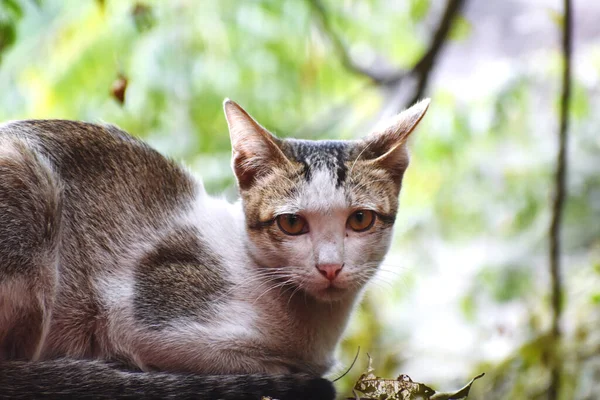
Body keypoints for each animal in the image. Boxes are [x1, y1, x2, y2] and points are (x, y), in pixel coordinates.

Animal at [1, 97, 432, 400]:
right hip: (31, 186)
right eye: (291, 223)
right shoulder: (132, 316)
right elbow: (261, 368)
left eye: (359, 220)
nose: (330, 267)